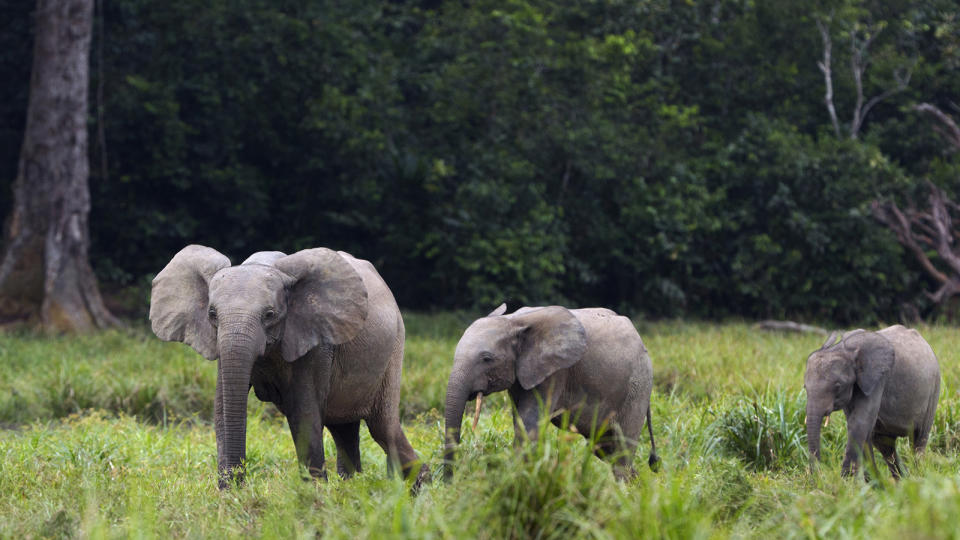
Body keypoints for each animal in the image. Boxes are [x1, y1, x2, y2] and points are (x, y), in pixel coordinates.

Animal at [149, 245, 428, 490]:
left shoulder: (314, 338)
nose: (239, 485)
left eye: (269, 315)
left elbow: (303, 413)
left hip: (394, 347)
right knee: (344, 429)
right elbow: (222, 410)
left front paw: (314, 497)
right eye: (212, 314)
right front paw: (228, 498)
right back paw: (353, 487)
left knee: (383, 427)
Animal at [442, 304, 660, 480]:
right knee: (606, 449)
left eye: (487, 358)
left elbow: (529, 426)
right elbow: (521, 422)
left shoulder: (555, 372)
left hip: (638, 386)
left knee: (622, 449)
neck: (513, 321)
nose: (449, 484)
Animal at [808, 324, 940, 480]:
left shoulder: (878, 378)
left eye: (838, 386)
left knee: (919, 439)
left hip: (934, 389)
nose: (818, 476)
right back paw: (902, 480)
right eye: (805, 387)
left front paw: (845, 480)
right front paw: (867, 482)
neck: (842, 349)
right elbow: (858, 425)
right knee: (884, 444)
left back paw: (918, 476)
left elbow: (859, 423)